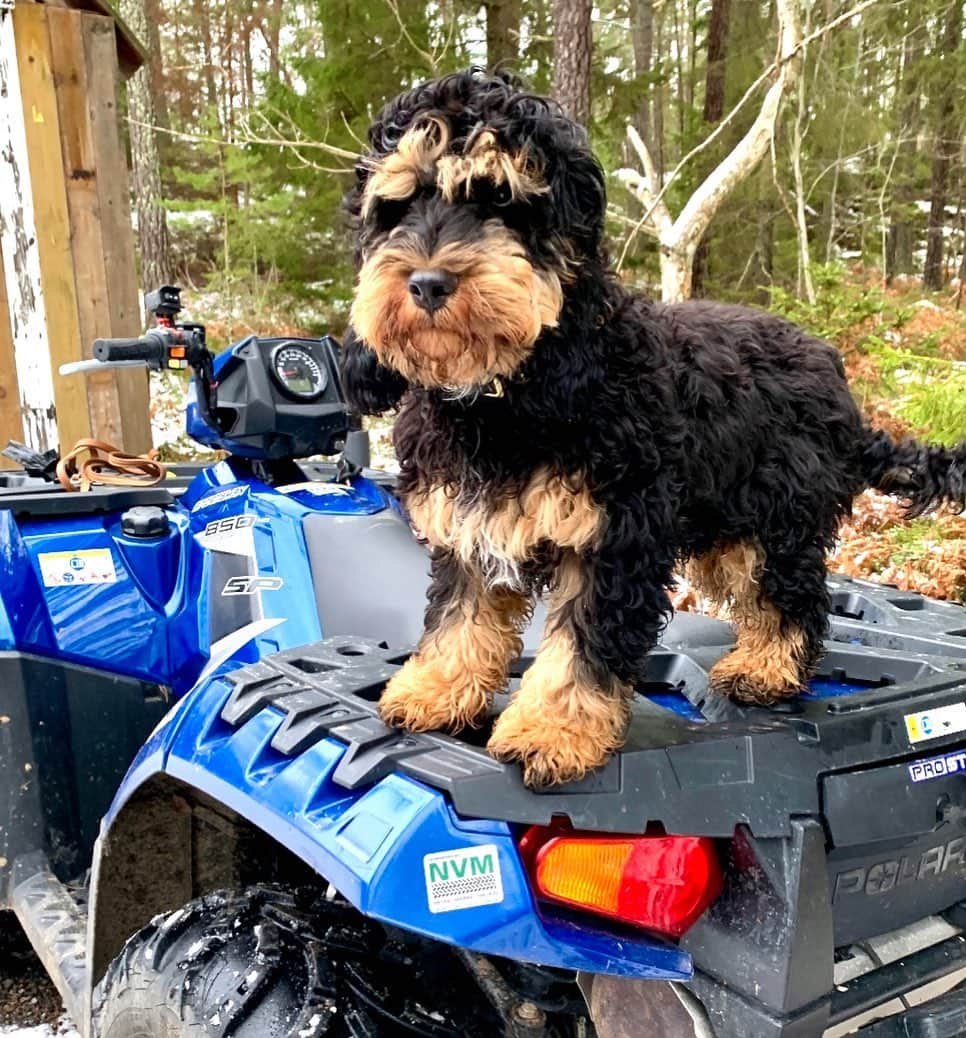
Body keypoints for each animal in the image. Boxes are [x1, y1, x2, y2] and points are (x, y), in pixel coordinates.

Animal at [340, 66, 966, 784]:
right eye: (397, 207)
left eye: (501, 201)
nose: (427, 283)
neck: (511, 388)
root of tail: (838, 382)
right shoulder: (472, 528)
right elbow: (458, 618)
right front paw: (436, 690)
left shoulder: (614, 539)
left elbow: (582, 648)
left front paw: (552, 730)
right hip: (727, 527)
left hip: (775, 522)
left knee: (794, 598)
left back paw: (765, 670)